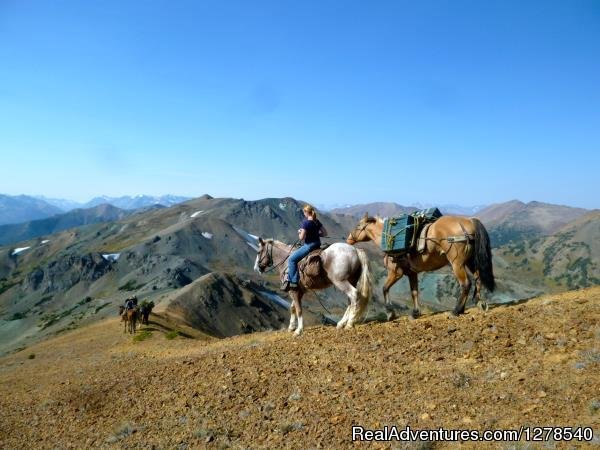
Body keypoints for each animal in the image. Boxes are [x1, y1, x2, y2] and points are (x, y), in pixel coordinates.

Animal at [346, 215, 496, 318]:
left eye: (358, 226)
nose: (349, 239)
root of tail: (468, 221)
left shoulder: (395, 273)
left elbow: (385, 288)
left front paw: (390, 313)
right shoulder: (412, 273)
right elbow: (414, 292)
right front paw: (415, 312)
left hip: (457, 263)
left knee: (465, 283)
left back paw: (456, 310)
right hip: (471, 262)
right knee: (477, 278)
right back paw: (478, 303)